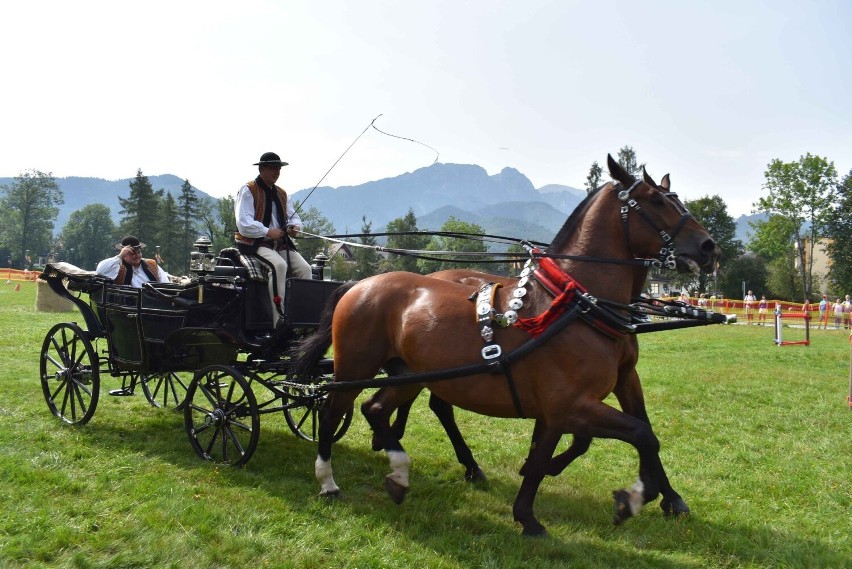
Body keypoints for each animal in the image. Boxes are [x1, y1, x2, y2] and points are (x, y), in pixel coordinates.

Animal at [294, 154, 720, 532]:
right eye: (656, 201)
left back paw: (400, 471)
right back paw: (329, 480)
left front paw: (667, 497)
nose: (709, 247)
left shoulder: (607, 386)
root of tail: (359, 284)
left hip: (408, 374)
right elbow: (636, 435)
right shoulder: (568, 403)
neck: (574, 304)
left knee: (376, 408)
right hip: (355, 367)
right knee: (331, 412)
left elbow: (618, 435)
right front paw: (628, 499)